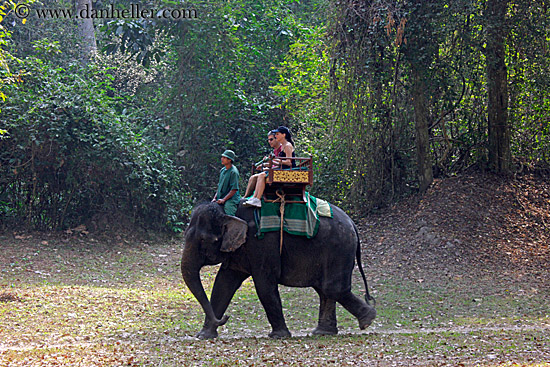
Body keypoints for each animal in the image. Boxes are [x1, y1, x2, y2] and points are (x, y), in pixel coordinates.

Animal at [180, 201, 376, 340]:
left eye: (204, 240)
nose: (226, 318)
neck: (228, 210)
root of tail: (353, 224)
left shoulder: (262, 244)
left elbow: (264, 285)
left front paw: (279, 336)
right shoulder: (238, 250)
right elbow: (223, 284)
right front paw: (203, 336)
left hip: (339, 249)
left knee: (332, 288)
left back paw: (367, 320)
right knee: (325, 290)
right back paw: (324, 332)